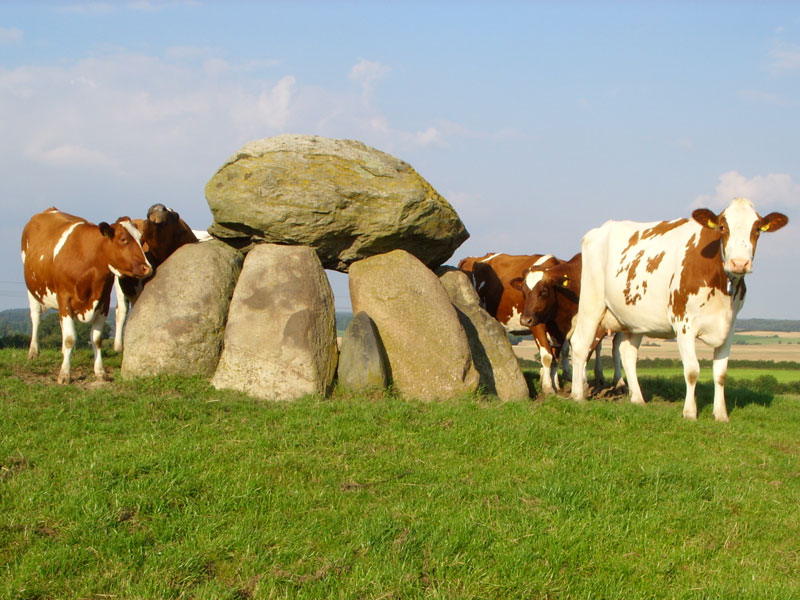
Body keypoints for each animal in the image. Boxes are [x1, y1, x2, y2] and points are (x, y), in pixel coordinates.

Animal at [21, 209, 152, 382]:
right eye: (123, 239)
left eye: (141, 239)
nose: (147, 267)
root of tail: (50, 210)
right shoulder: (65, 300)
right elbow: (70, 338)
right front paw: (65, 373)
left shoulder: (103, 301)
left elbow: (96, 339)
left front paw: (100, 371)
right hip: (32, 290)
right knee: (36, 317)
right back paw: (33, 351)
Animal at [512, 252, 624, 390]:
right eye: (524, 292)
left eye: (544, 291)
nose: (525, 320)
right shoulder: (555, 331)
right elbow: (553, 357)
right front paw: (553, 386)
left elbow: (586, 350)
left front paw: (581, 382)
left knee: (616, 348)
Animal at [568, 198, 788, 422]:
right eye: (723, 227)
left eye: (757, 229)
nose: (740, 263)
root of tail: (600, 229)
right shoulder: (683, 323)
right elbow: (692, 370)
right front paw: (690, 412)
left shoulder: (730, 325)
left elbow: (721, 373)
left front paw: (721, 414)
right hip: (591, 303)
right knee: (580, 344)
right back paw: (578, 394)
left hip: (635, 318)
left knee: (627, 352)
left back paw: (638, 399)